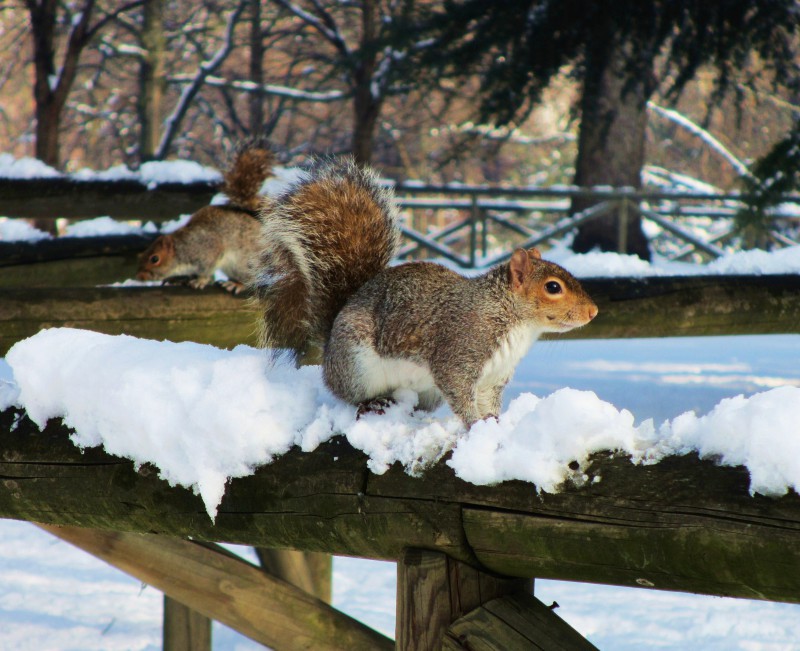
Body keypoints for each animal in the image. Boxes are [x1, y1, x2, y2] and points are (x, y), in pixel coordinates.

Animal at [136, 141, 274, 296]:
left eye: (155, 259)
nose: (139, 276)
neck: (182, 247)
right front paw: (178, 279)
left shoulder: (208, 251)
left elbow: (206, 270)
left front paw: (200, 281)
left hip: (243, 263)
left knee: (250, 279)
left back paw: (236, 284)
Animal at [253, 158, 596, 428]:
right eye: (553, 287)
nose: (593, 312)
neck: (510, 317)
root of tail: (329, 348)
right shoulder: (459, 352)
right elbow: (459, 391)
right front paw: (474, 424)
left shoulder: (494, 376)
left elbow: (488, 401)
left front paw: (493, 422)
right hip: (357, 364)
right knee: (349, 395)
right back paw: (371, 403)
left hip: (426, 393)